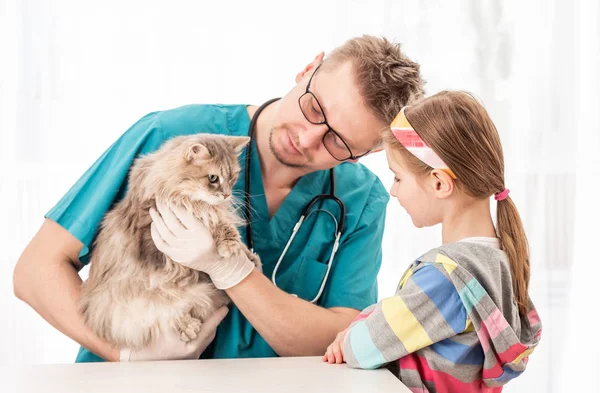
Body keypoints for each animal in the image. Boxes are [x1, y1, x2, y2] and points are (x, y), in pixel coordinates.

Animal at [78, 134, 258, 350]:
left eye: (233, 177)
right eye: (213, 178)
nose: (227, 194)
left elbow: (218, 217)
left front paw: (246, 256)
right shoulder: (169, 211)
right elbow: (212, 215)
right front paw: (230, 245)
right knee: (164, 313)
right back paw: (188, 327)